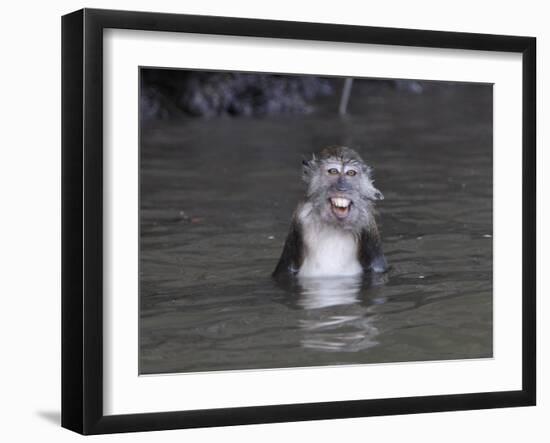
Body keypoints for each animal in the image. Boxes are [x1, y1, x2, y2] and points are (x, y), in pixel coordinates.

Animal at [274, 147, 388, 280]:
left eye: (351, 173)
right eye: (333, 171)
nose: (343, 188)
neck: (335, 225)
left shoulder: (368, 222)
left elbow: (378, 267)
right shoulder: (299, 217)